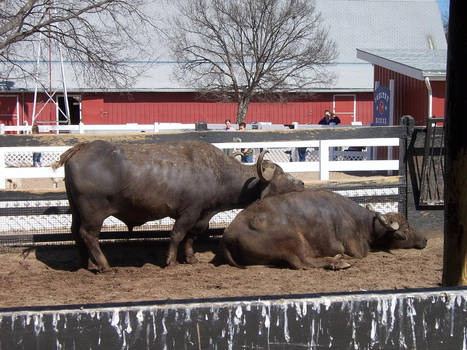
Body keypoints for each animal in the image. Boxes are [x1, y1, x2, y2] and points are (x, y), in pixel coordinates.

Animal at [54, 139, 306, 270]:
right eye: (283, 176)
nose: (302, 182)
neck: (216, 173)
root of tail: (80, 149)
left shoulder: (202, 213)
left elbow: (192, 235)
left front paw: (190, 257)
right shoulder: (189, 211)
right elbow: (177, 234)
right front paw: (171, 260)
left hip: (76, 210)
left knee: (76, 233)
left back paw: (84, 263)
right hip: (93, 213)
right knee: (88, 235)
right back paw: (104, 265)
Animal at [220, 190, 428, 270]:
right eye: (407, 228)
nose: (425, 239)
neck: (361, 222)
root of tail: (229, 234)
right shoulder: (356, 249)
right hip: (292, 240)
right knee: (301, 262)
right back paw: (338, 262)